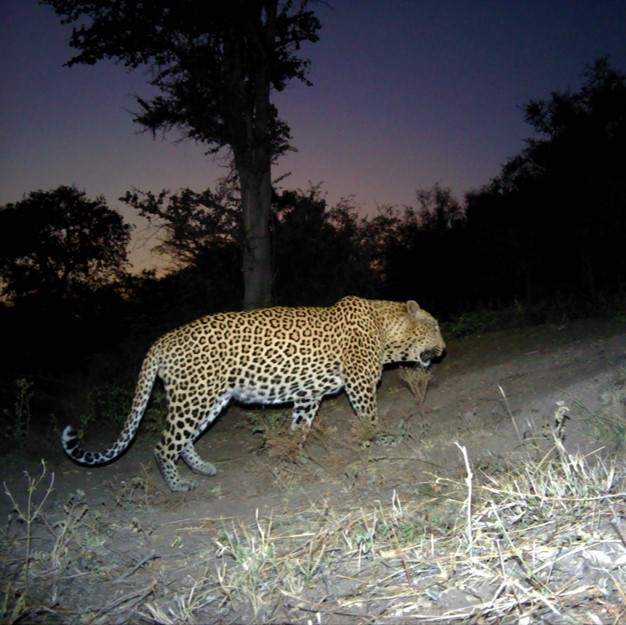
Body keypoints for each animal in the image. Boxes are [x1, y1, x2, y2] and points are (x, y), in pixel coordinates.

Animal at [62, 294, 444, 490]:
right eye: (436, 327)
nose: (443, 349)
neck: (386, 329)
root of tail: (162, 340)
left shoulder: (307, 395)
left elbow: (298, 429)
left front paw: (293, 457)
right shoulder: (360, 383)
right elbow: (370, 417)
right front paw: (384, 439)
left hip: (208, 400)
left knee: (184, 441)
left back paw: (203, 469)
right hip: (196, 397)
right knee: (163, 445)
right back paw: (178, 484)